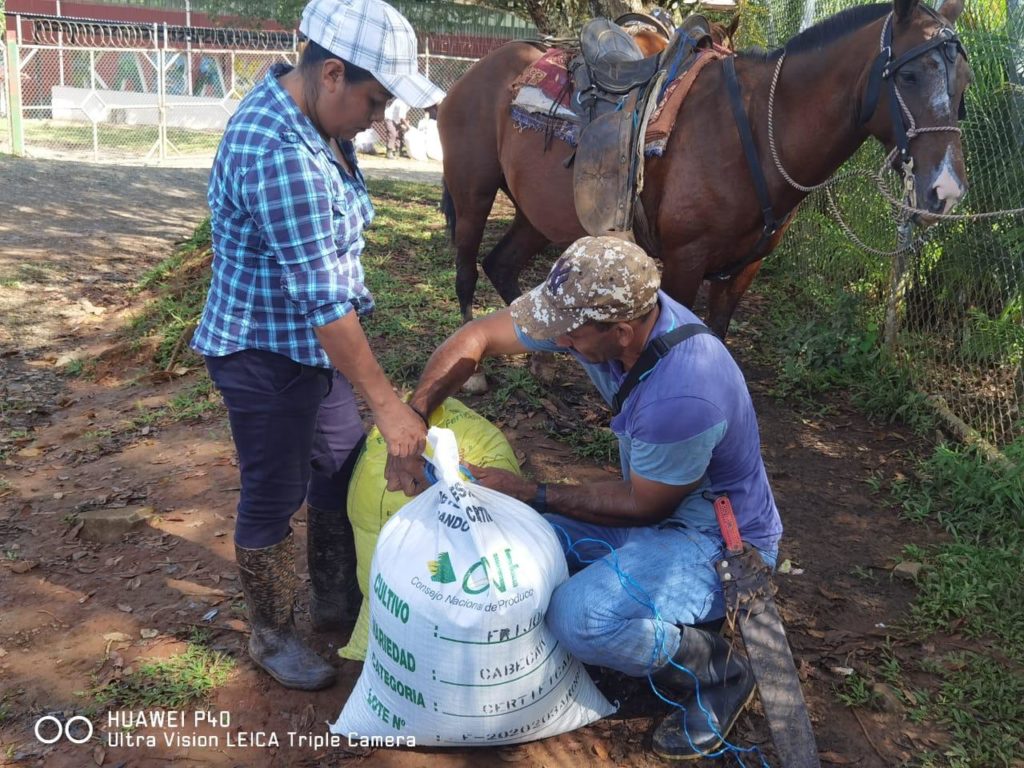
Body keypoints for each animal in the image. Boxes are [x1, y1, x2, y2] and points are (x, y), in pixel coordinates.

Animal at [438, 0, 966, 337]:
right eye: (909, 74)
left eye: (964, 81)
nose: (946, 191)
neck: (753, 131)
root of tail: (481, 68)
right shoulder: (685, 261)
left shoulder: (744, 269)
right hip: (473, 193)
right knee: (467, 267)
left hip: (539, 213)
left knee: (501, 265)